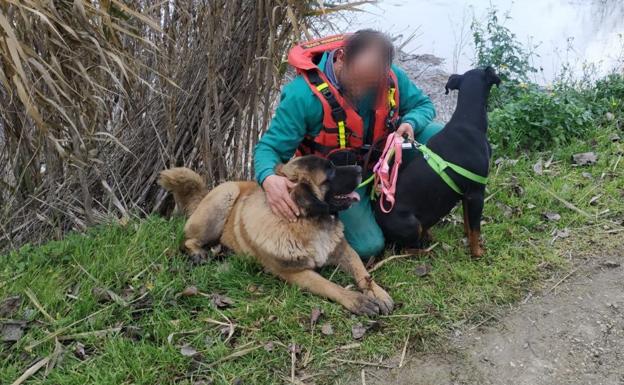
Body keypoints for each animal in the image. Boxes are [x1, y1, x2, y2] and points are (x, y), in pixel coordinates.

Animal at [160, 156, 394, 316]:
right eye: (330, 173)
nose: (360, 168)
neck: (307, 222)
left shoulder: (344, 250)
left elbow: (362, 272)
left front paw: (377, 293)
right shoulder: (296, 273)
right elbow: (331, 286)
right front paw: (357, 300)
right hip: (224, 198)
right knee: (187, 239)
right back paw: (198, 253)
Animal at [376, 67, 502, 256]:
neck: (468, 122)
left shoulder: (466, 194)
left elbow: (468, 222)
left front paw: (466, 236)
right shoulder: (477, 193)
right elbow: (475, 228)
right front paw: (477, 252)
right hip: (412, 224)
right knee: (404, 248)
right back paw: (426, 250)